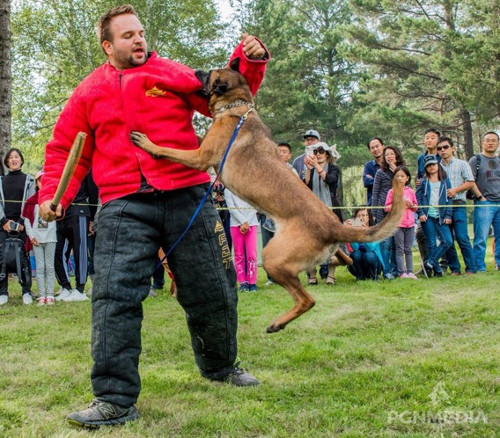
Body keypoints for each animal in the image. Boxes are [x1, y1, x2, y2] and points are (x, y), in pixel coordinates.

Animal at [128, 61, 402, 334]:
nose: (196, 70)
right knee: (344, 258)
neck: (237, 107)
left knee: (307, 299)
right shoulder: (202, 148)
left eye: (210, 74)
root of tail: (334, 227)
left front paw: (148, 143)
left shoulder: (200, 156)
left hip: (273, 259)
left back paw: (277, 323)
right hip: (311, 253)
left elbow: (168, 150)